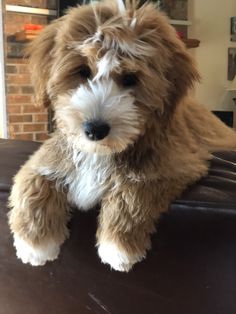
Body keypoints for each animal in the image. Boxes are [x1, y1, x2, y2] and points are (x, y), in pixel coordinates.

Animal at [7, 0, 236, 272]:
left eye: (130, 79)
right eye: (82, 71)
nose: (95, 129)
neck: (101, 153)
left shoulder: (176, 163)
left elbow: (137, 186)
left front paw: (117, 247)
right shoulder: (51, 153)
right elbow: (34, 177)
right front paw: (35, 244)